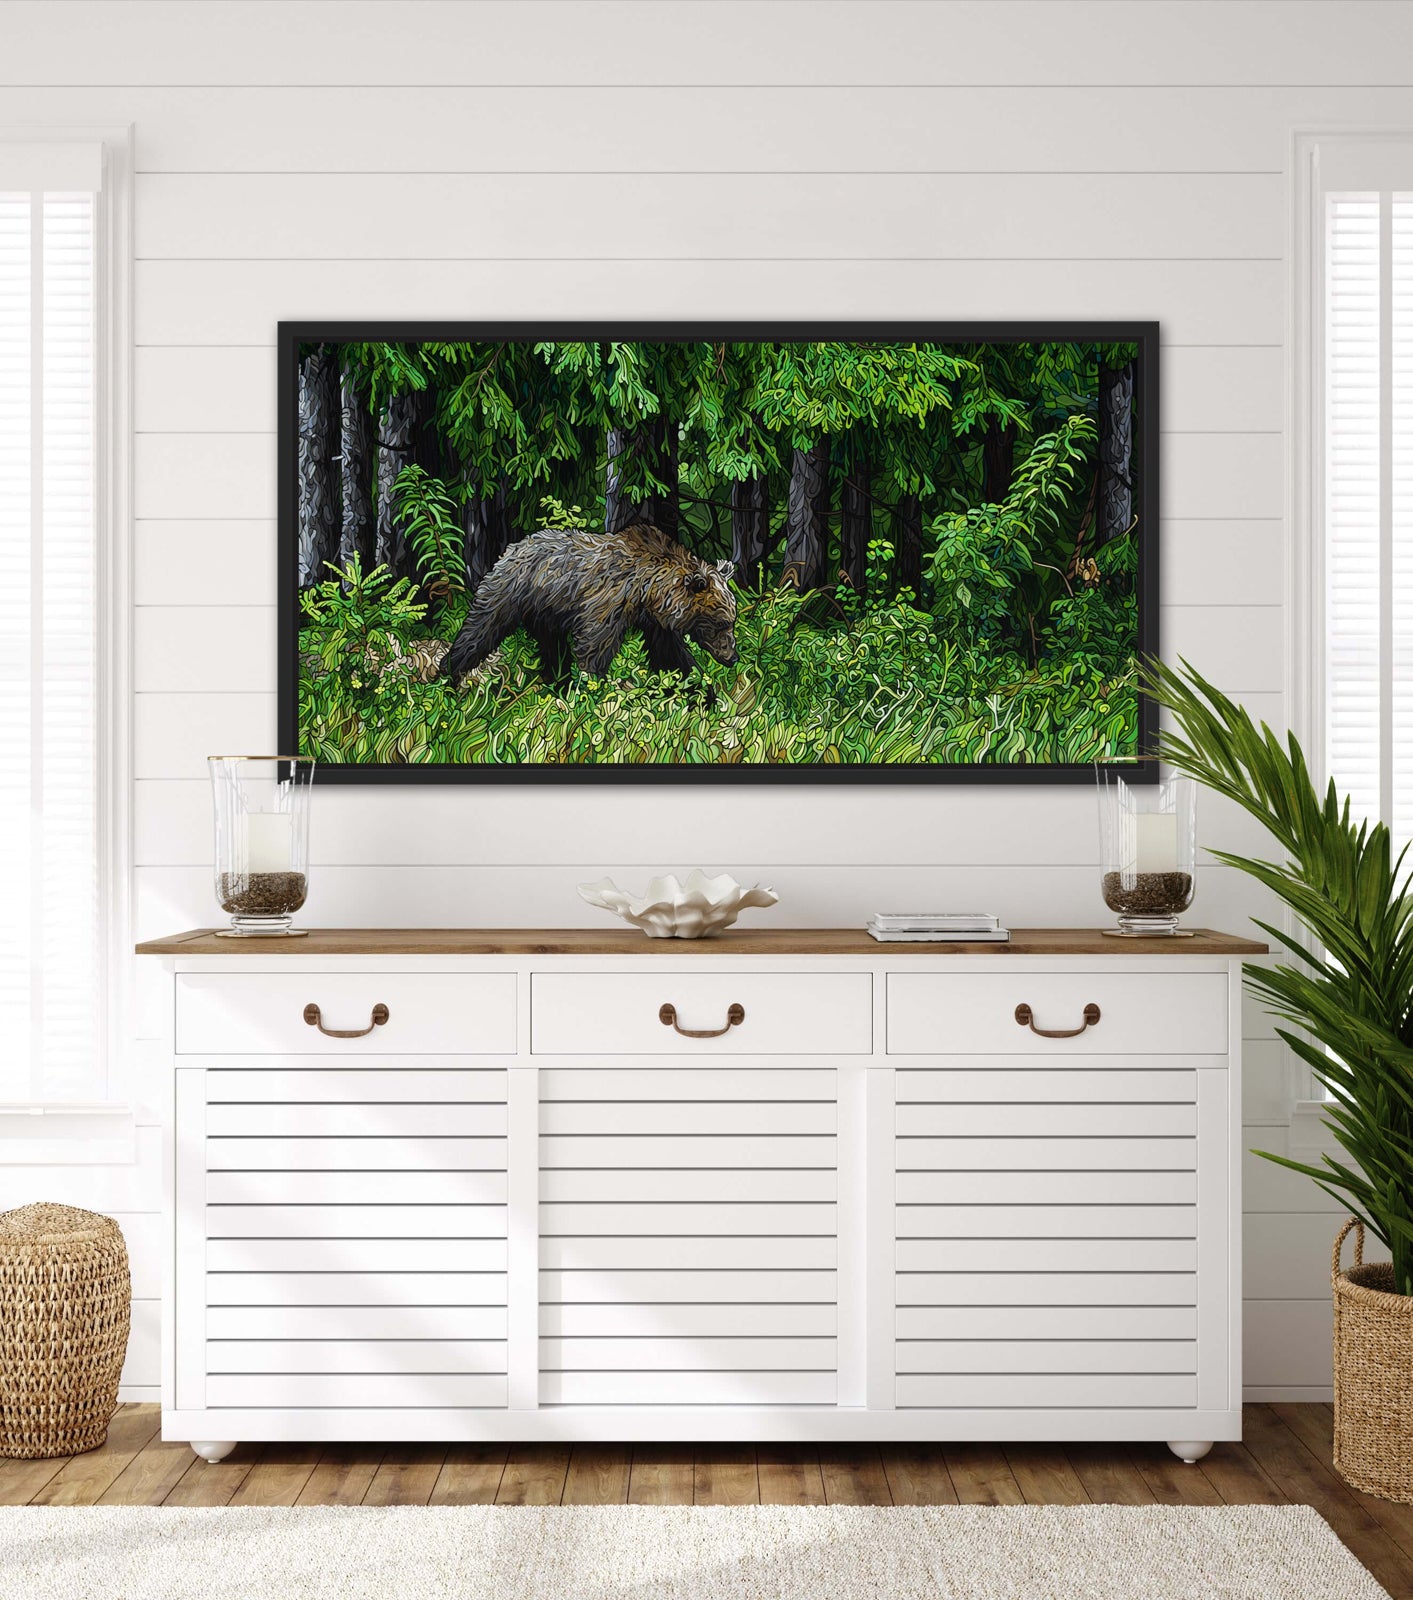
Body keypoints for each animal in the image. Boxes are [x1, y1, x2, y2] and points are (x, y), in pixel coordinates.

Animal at [439, 522, 738, 690]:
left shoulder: (655, 623)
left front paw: (703, 693)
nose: (733, 657)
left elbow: (672, 658)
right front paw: (591, 688)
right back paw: (449, 673)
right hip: (512, 591)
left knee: (553, 651)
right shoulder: (608, 603)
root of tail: (513, 546)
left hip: (547, 614)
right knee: (481, 629)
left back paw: (555, 682)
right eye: (721, 623)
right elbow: (595, 646)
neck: (647, 590)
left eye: (732, 621)